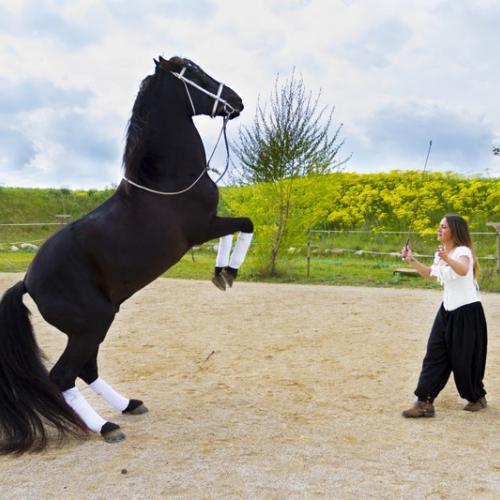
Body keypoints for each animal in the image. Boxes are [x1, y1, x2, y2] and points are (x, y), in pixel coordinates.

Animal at [0, 54, 252, 454]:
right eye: (195, 72)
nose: (235, 101)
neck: (165, 181)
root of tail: (27, 281)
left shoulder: (210, 226)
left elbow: (239, 227)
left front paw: (222, 273)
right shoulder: (202, 229)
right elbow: (246, 223)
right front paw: (228, 272)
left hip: (96, 324)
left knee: (86, 370)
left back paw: (129, 405)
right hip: (91, 325)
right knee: (64, 376)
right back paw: (106, 427)